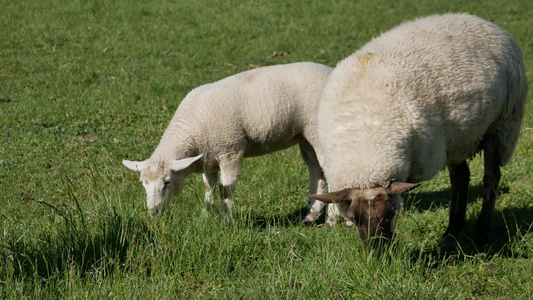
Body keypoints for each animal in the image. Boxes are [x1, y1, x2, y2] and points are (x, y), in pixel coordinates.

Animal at [124, 61, 332, 223]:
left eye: (167, 182)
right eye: (143, 183)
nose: (154, 212)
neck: (191, 127)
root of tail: (331, 70)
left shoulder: (230, 152)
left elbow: (226, 189)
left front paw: (227, 220)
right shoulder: (208, 159)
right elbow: (209, 188)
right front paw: (206, 216)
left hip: (318, 131)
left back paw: (331, 219)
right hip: (305, 136)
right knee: (316, 170)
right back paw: (311, 215)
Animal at [310, 12, 524, 246]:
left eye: (390, 213)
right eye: (354, 218)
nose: (377, 250)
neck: (365, 138)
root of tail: (482, 21)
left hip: (502, 125)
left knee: (491, 177)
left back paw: (480, 233)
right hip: (456, 137)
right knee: (460, 178)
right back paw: (451, 232)